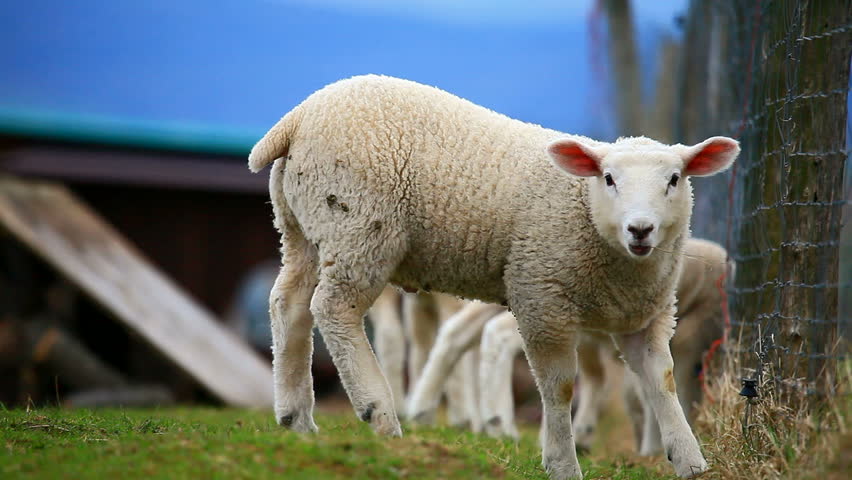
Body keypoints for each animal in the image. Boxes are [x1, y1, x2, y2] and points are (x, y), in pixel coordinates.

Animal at [249, 74, 738, 479]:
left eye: (674, 179)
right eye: (608, 178)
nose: (640, 229)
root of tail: (297, 118)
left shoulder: (647, 315)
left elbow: (663, 380)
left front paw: (689, 460)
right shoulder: (542, 296)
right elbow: (559, 387)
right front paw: (562, 463)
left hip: (302, 227)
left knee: (288, 304)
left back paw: (296, 420)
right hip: (358, 223)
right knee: (335, 309)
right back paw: (380, 412)